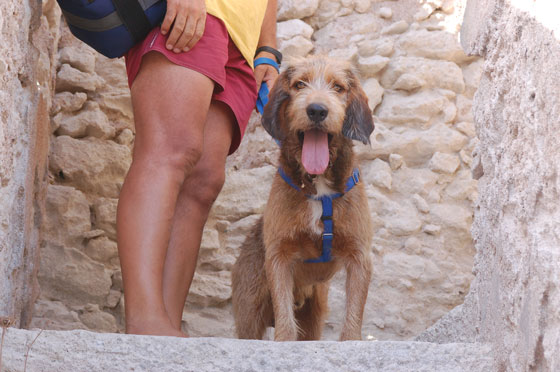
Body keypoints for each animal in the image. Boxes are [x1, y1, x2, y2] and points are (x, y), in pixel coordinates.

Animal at [230, 56, 374, 342]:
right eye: (299, 84)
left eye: (338, 87)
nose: (317, 110)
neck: (318, 187)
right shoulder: (279, 256)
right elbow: (285, 314)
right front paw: (284, 341)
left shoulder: (359, 255)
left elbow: (353, 312)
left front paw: (351, 341)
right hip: (250, 307)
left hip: (314, 314)